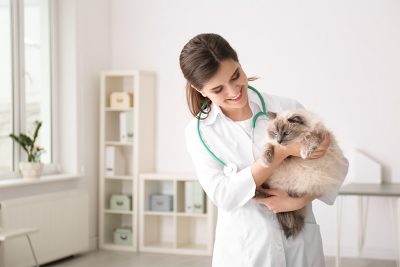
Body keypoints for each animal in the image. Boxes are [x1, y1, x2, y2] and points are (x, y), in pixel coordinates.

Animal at [256, 110, 346, 240]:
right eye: (275, 133)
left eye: (286, 133)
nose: (279, 141)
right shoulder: (275, 147)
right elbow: (268, 147)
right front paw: (266, 161)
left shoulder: (318, 134)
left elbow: (309, 139)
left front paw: (304, 152)